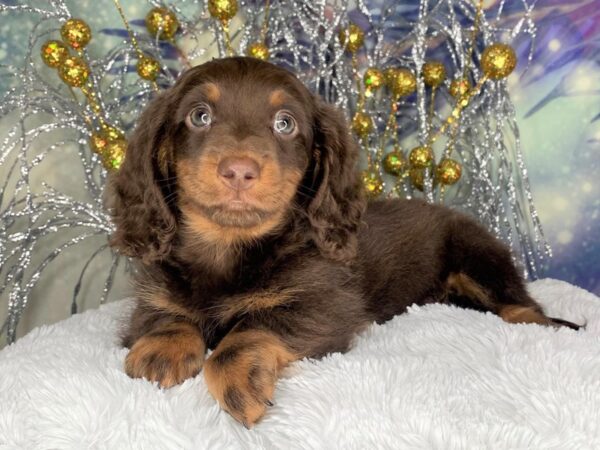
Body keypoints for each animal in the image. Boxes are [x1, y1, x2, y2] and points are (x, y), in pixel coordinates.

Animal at [109, 57, 580, 428]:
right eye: (199, 116)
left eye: (285, 123)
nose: (238, 170)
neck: (229, 248)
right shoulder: (151, 296)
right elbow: (167, 314)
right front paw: (163, 348)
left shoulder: (325, 306)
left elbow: (246, 333)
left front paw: (239, 379)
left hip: (479, 255)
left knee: (521, 304)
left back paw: (550, 325)